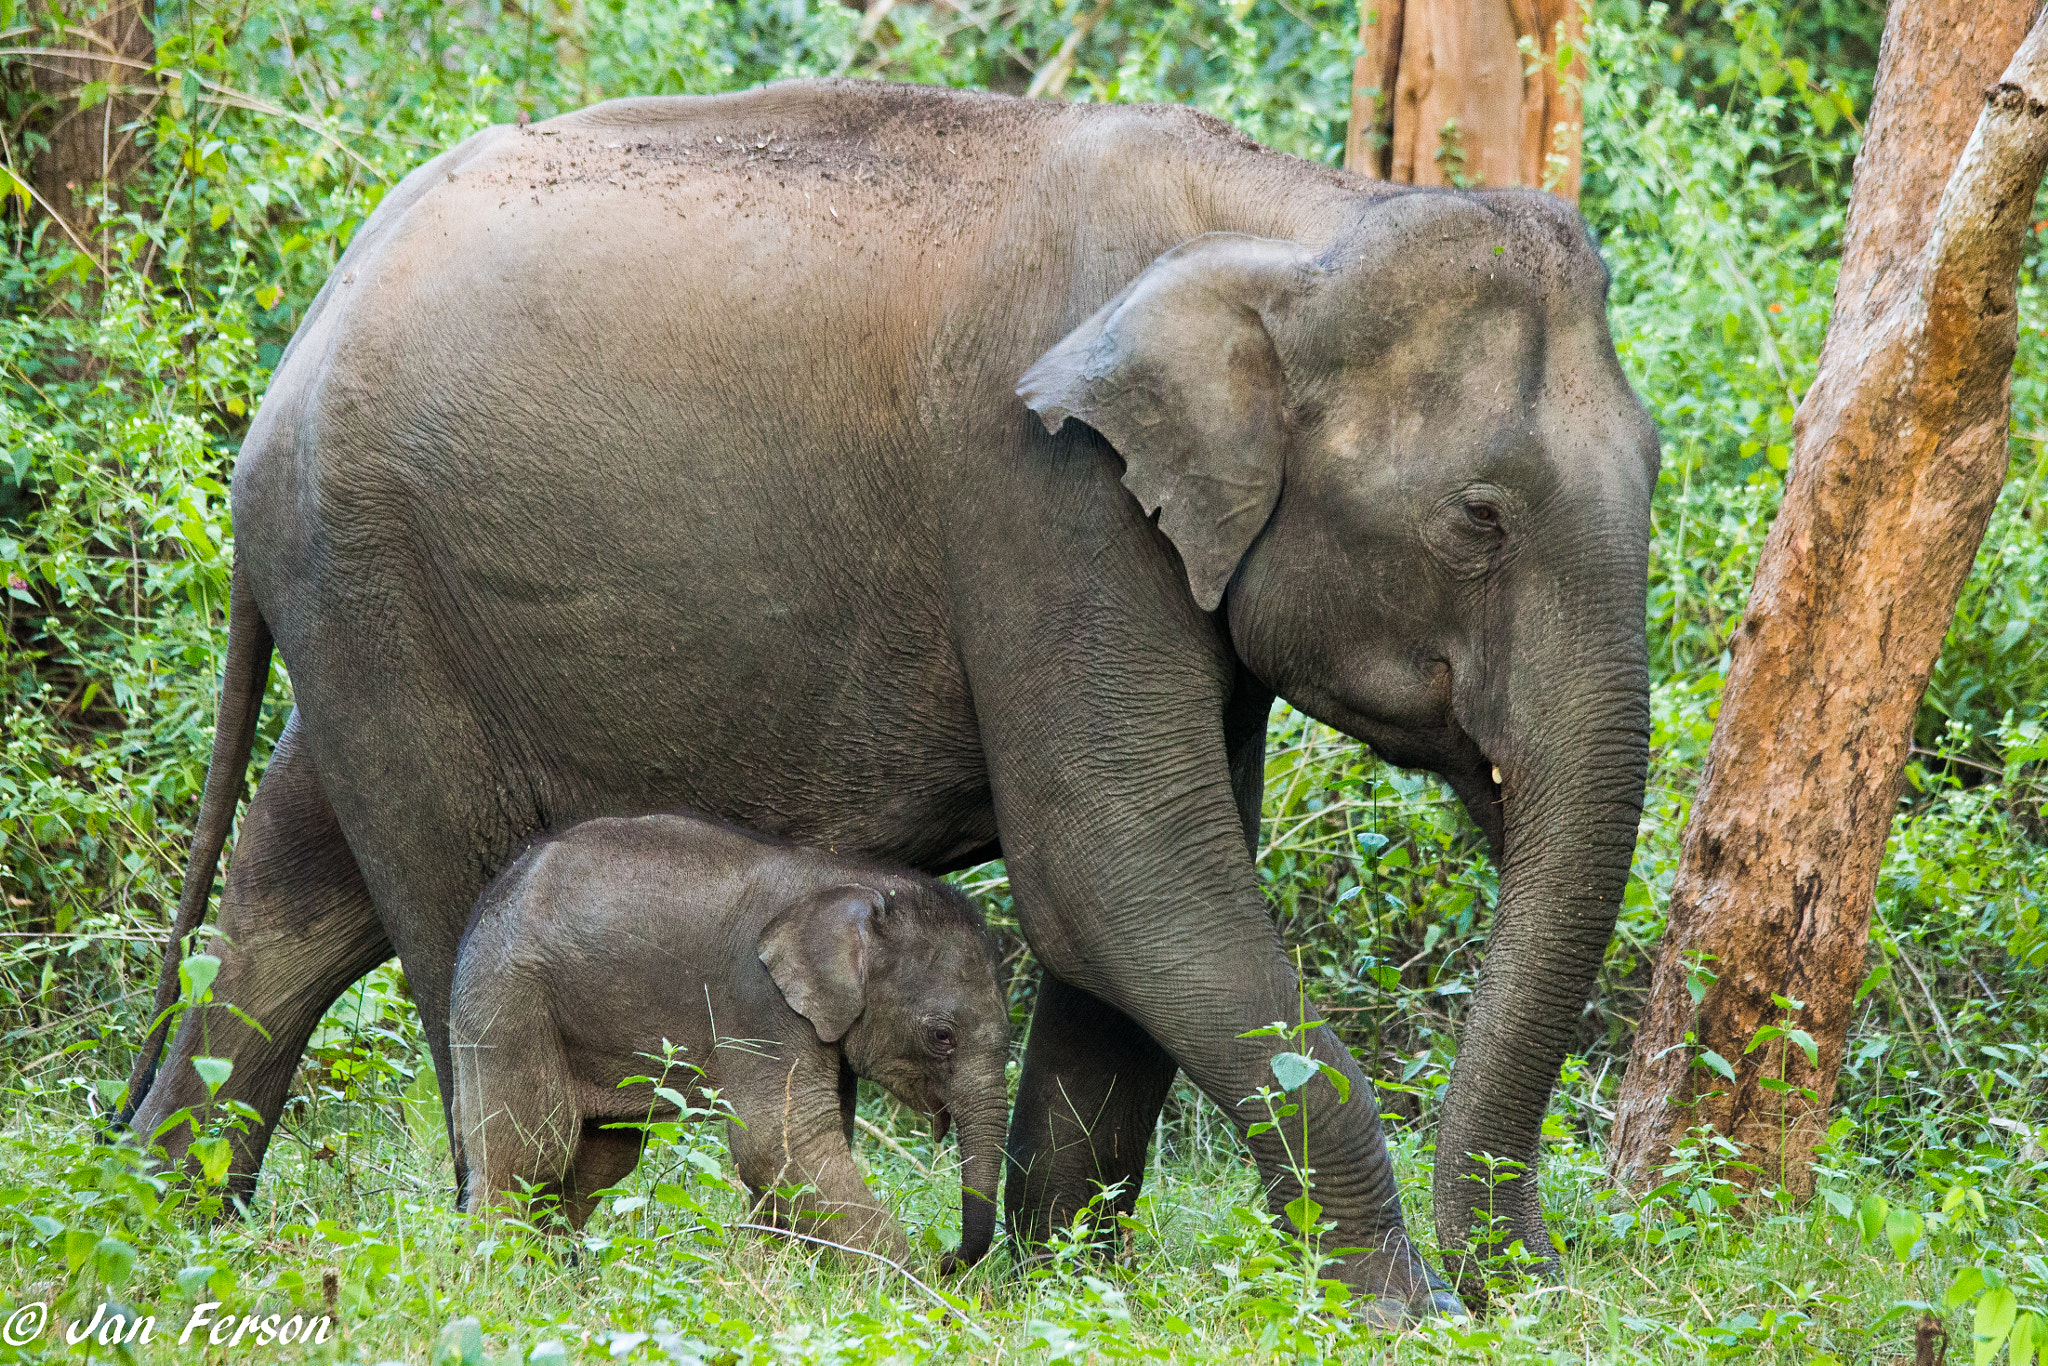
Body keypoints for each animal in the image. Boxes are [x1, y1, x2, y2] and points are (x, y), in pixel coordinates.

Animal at [449, 812, 1009, 1269]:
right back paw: (495, 1273)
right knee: (531, 1152)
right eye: (941, 1036)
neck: (855, 881)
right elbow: (779, 1144)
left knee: (598, 1158)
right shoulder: (760, 1002)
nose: (948, 1259)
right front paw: (904, 1284)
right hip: (509, 998)